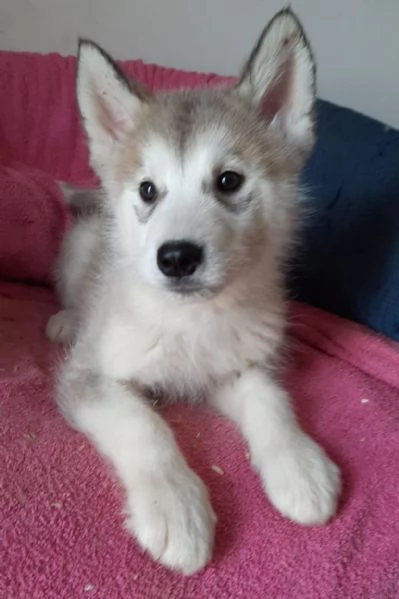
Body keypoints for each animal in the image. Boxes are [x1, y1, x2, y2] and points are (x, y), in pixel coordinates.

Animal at [47, 9, 340, 576]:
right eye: (147, 190)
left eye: (228, 181)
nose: (177, 258)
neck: (192, 323)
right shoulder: (89, 376)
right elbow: (142, 423)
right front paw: (175, 506)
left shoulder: (233, 366)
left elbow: (271, 399)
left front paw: (299, 463)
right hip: (79, 256)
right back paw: (66, 321)